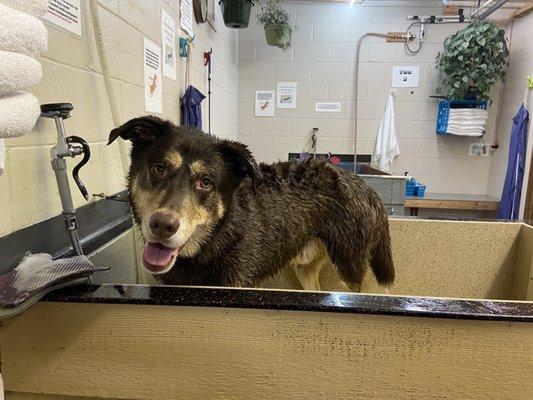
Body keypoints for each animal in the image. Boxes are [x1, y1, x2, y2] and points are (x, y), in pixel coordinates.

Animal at [108, 115, 392, 290]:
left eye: (206, 182)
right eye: (159, 169)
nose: (162, 225)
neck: (218, 237)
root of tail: (365, 185)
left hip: (349, 270)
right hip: (306, 268)